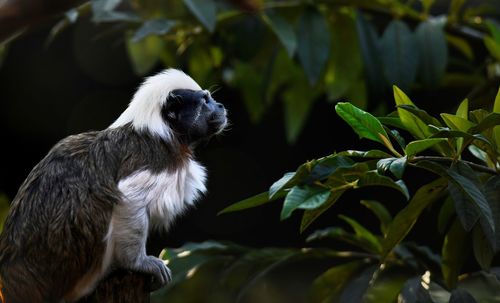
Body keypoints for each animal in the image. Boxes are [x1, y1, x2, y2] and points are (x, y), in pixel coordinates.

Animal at [0, 69, 229, 303]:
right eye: (205, 101)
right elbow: (129, 196)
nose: (220, 106)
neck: (164, 134)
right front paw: (138, 263)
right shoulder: (151, 159)